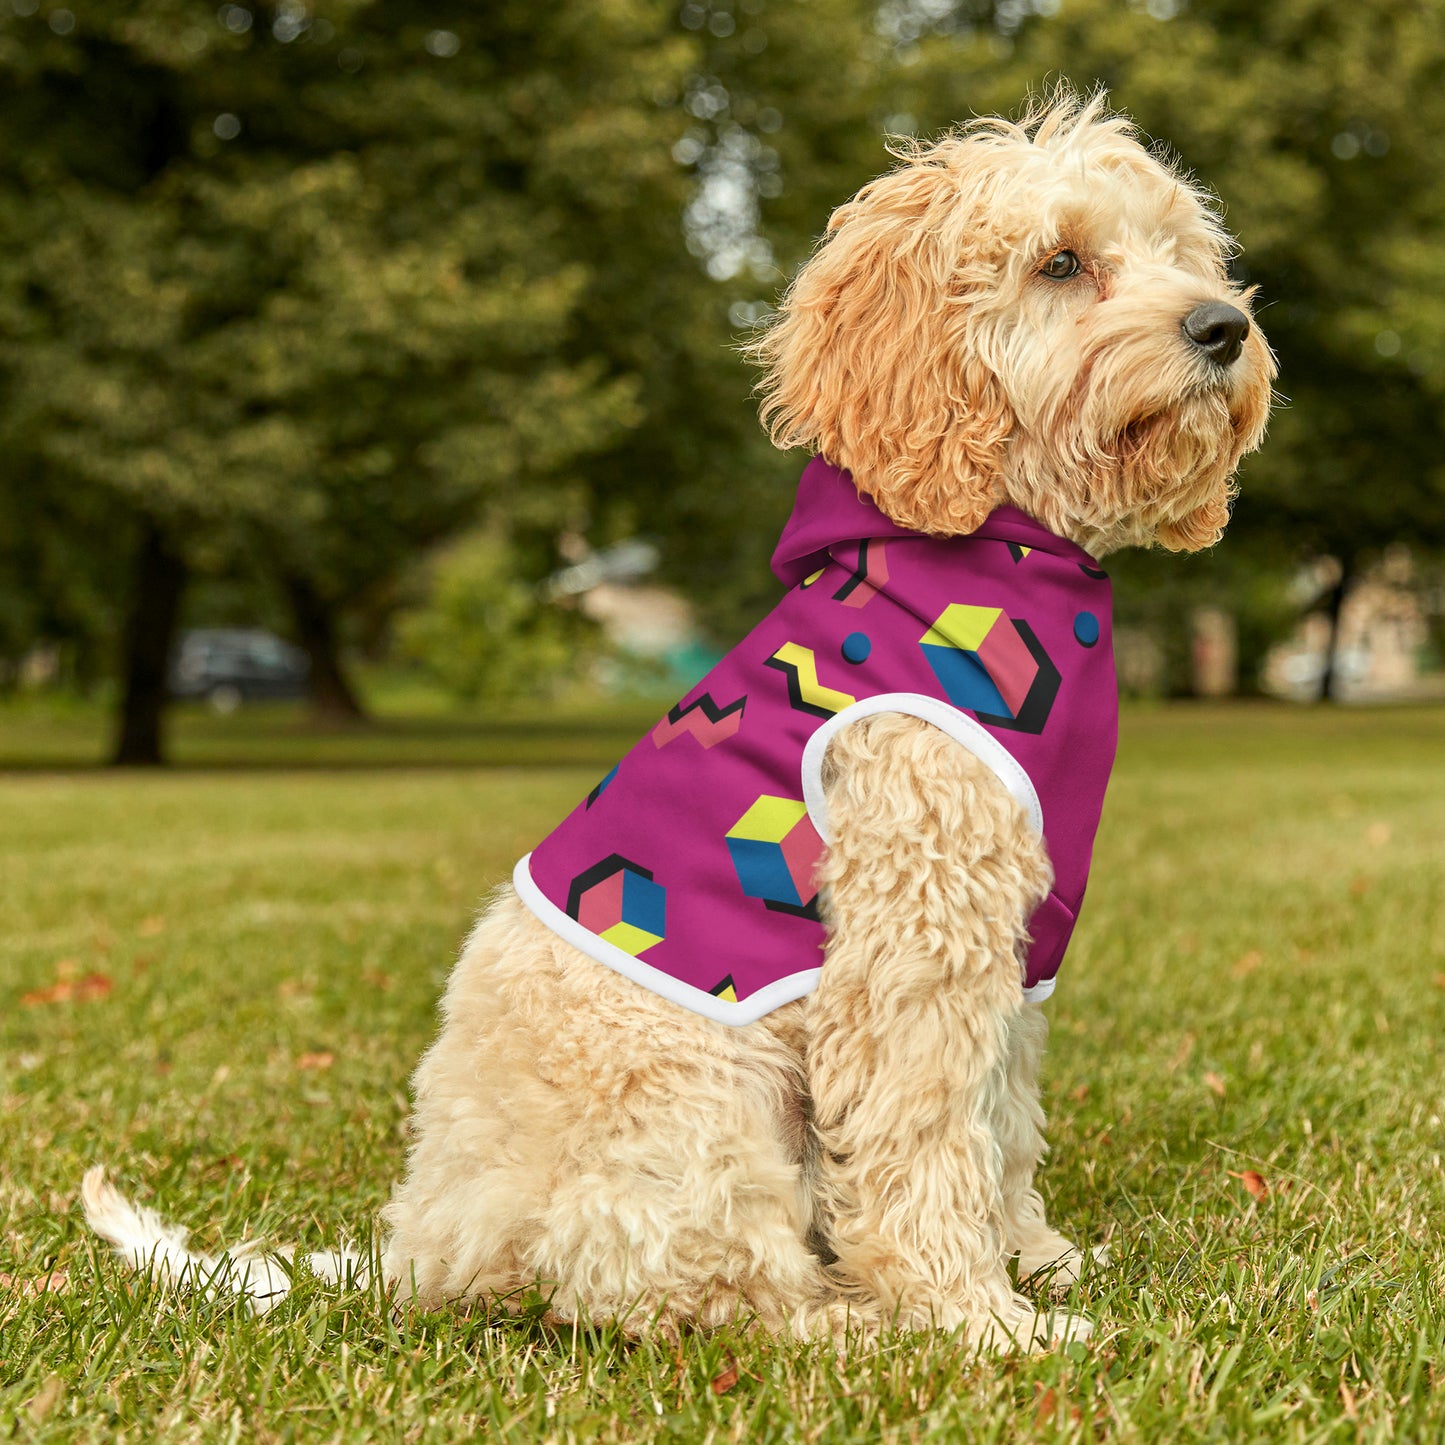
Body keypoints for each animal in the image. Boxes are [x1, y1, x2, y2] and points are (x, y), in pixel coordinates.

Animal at [84, 93, 1271, 1352]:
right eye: (1059, 262)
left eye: (1181, 252)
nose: (1222, 327)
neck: (991, 553)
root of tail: (424, 1247)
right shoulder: (912, 941)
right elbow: (924, 1138)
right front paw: (976, 1318)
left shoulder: (1010, 949)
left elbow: (998, 1122)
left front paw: (1034, 1259)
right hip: (703, 1101)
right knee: (700, 1291)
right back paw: (852, 1322)